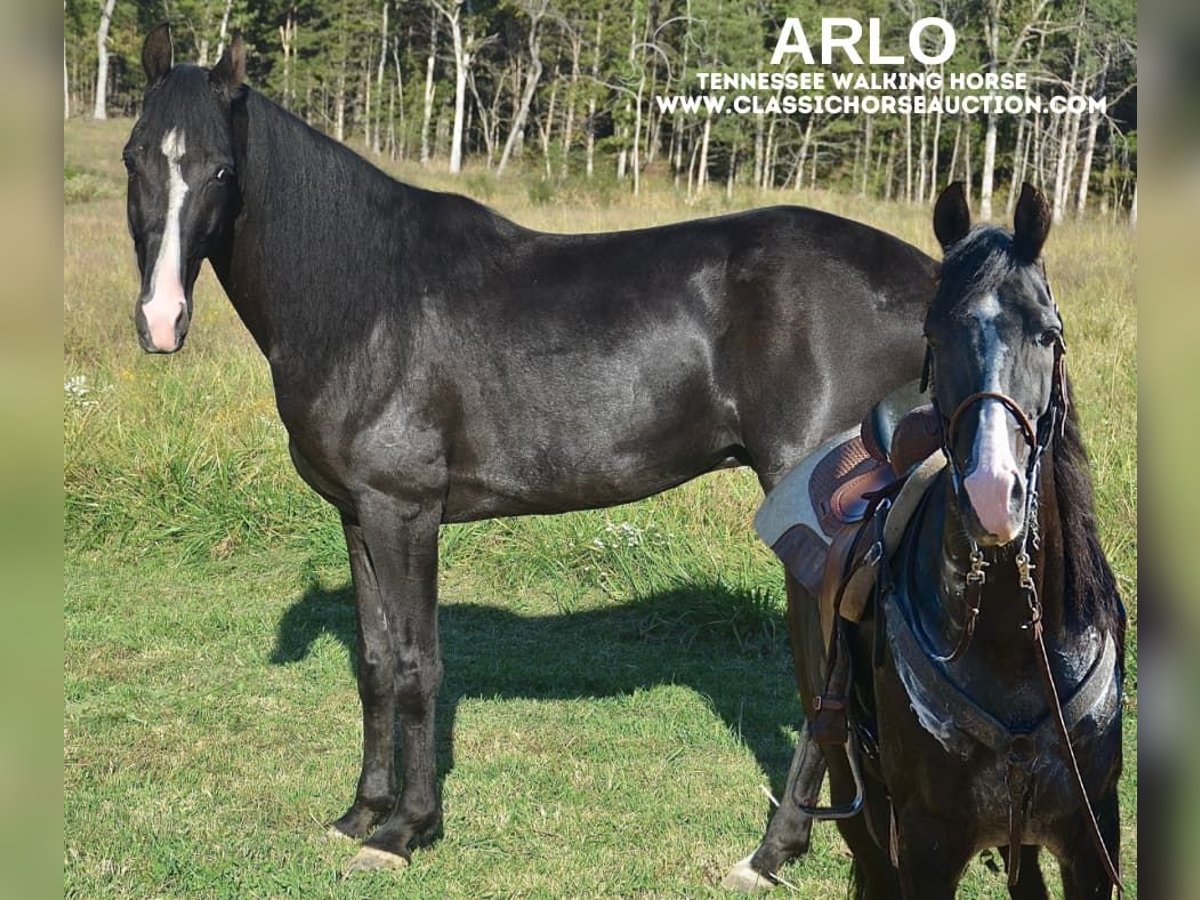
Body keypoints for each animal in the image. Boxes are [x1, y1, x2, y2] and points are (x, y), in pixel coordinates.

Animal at [124, 26, 936, 873]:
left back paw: (770, 852)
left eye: (222, 170)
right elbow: (375, 664)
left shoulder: (405, 512)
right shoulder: (357, 514)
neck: (365, 300)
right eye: (134, 158)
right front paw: (360, 812)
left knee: (830, 677)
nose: (161, 320)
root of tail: (927, 278)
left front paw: (404, 829)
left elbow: (417, 666)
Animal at [739, 181, 1123, 897]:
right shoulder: (925, 843)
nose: (992, 494)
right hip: (854, 785)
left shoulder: (1093, 839)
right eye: (934, 335)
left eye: (1049, 334)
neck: (1013, 649)